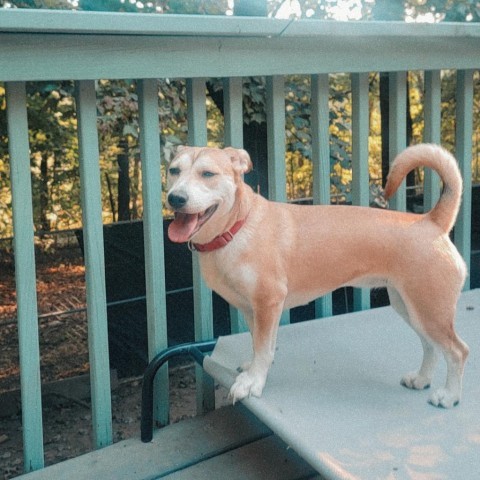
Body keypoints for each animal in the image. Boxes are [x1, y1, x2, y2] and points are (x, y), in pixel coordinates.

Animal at [166, 143, 468, 408]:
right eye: (173, 171)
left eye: (208, 174)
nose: (175, 198)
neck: (238, 227)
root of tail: (431, 222)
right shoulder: (254, 310)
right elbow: (260, 345)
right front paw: (254, 369)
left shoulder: (268, 302)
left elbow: (263, 348)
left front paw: (253, 382)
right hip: (412, 308)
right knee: (431, 347)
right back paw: (422, 379)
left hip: (431, 311)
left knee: (457, 351)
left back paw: (450, 396)